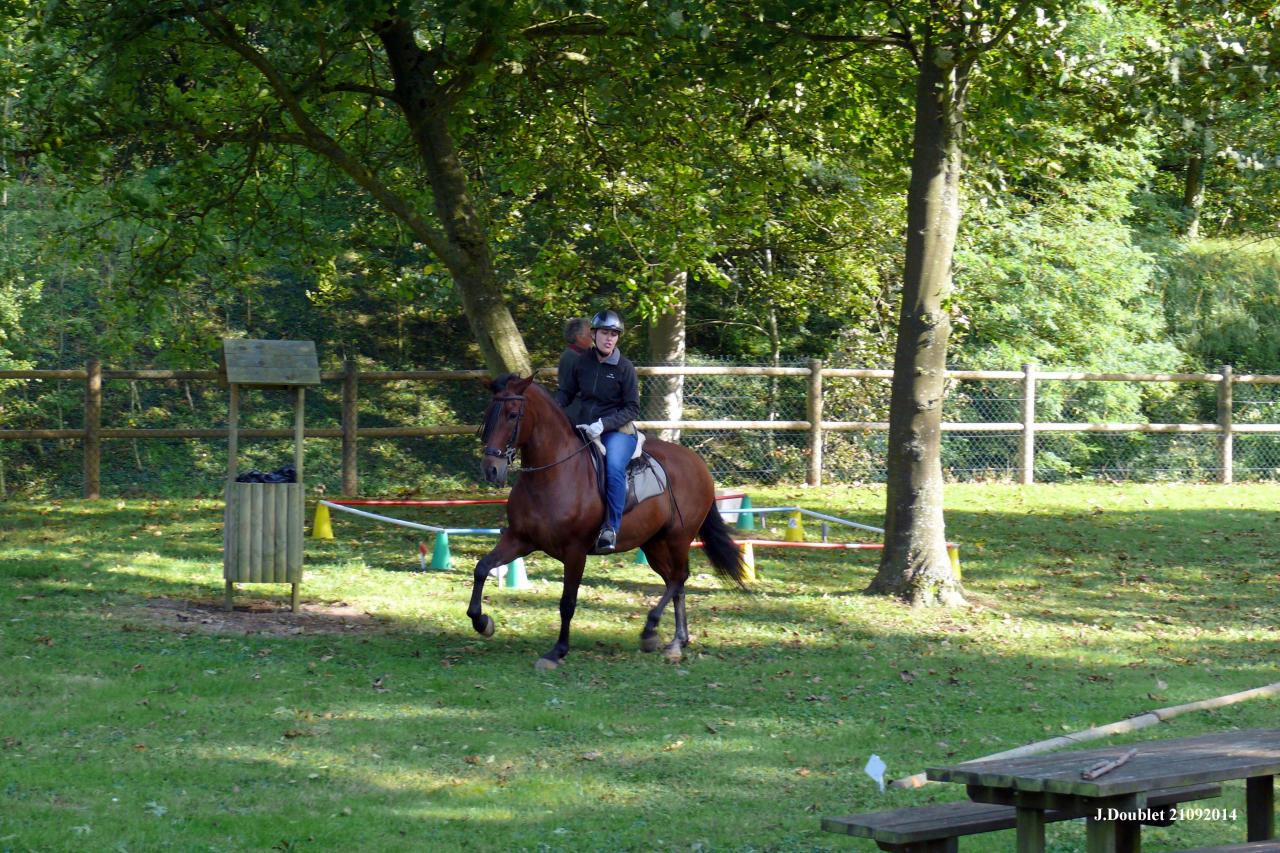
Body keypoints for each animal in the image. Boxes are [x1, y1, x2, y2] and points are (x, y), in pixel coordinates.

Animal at [471, 374, 748, 670]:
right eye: (489, 414)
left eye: (513, 415)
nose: (491, 469)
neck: (553, 474)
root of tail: (698, 463)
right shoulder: (520, 540)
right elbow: (481, 568)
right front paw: (482, 622)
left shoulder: (575, 552)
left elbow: (567, 602)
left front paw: (557, 651)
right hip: (653, 544)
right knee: (675, 581)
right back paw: (677, 640)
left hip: (678, 538)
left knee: (679, 577)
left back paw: (653, 631)